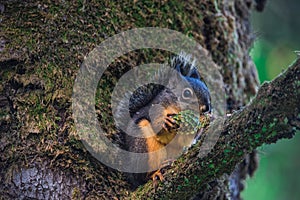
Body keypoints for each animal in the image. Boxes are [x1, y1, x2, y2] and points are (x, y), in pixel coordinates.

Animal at [115, 52, 211, 188]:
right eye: (187, 93)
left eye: (208, 93)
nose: (207, 108)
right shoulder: (156, 108)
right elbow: (157, 125)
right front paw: (165, 121)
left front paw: (203, 120)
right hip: (143, 145)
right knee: (143, 178)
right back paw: (154, 174)